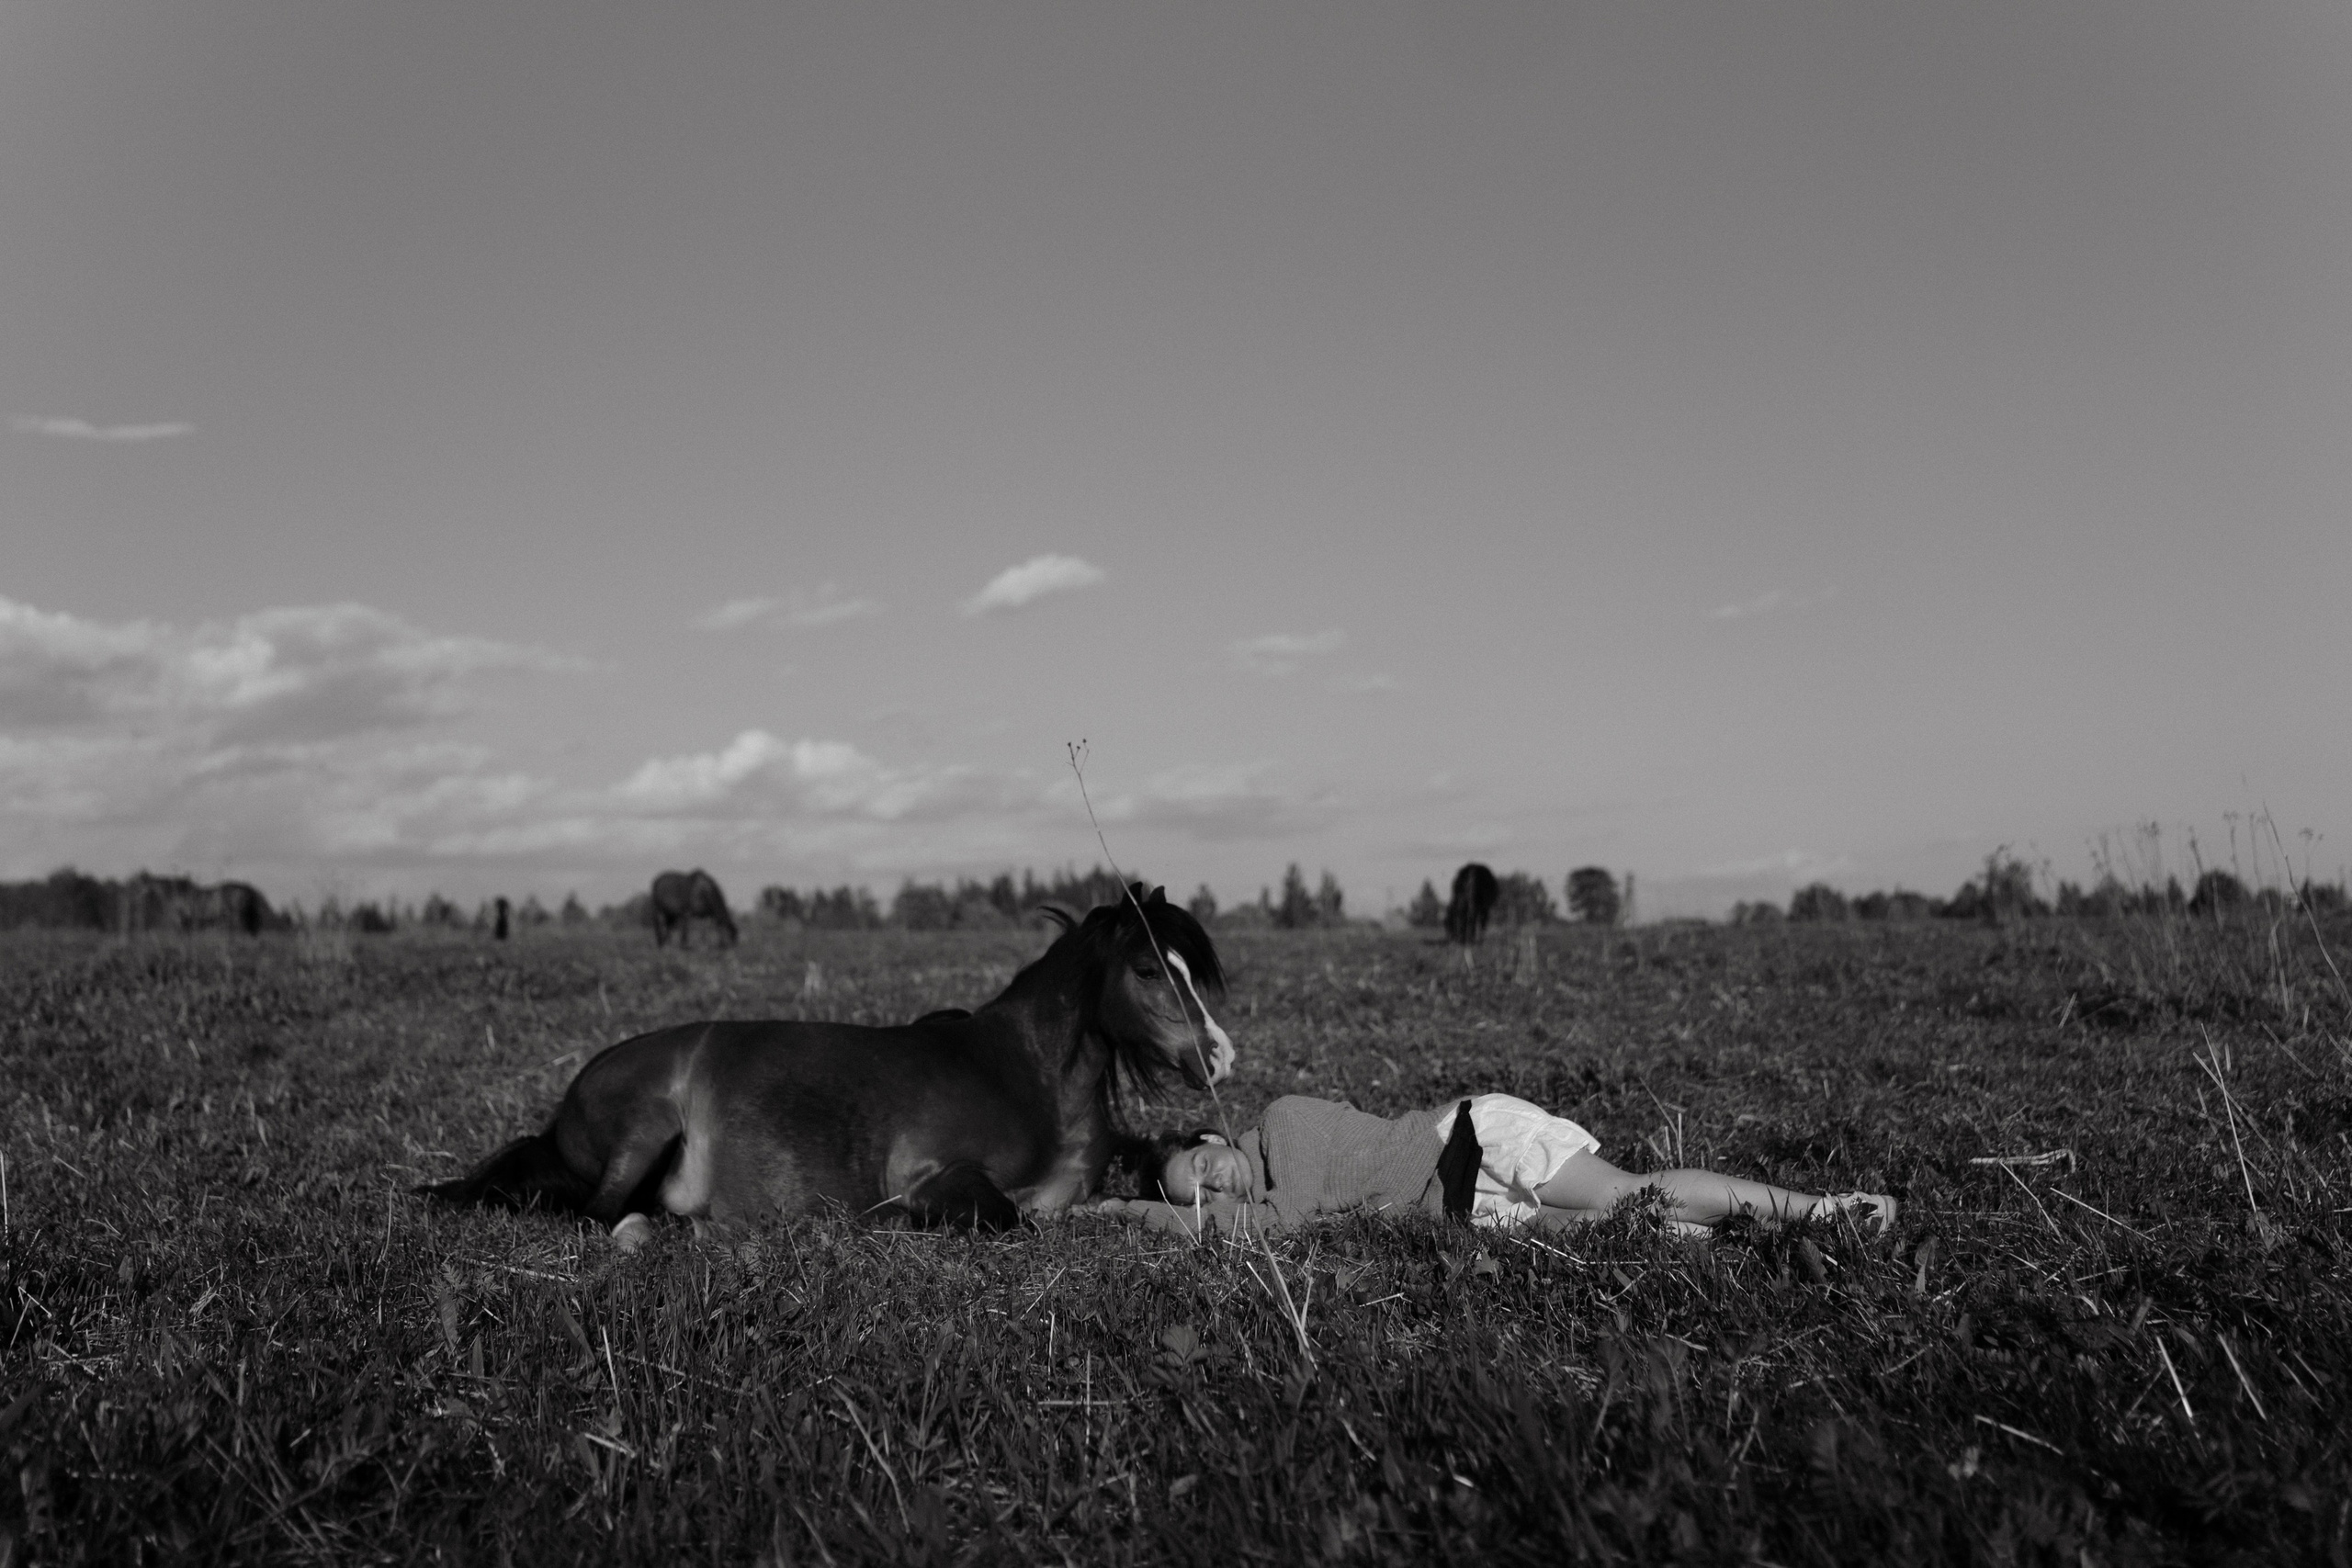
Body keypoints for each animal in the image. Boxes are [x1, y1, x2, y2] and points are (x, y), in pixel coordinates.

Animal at [421, 884, 1235, 1237]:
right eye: (1148, 969)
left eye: (1189, 967)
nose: (1221, 1056)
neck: (1025, 1075)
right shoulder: (933, 1174)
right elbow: (1001, 1215)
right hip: (645, 1126)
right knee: (598, 1213)